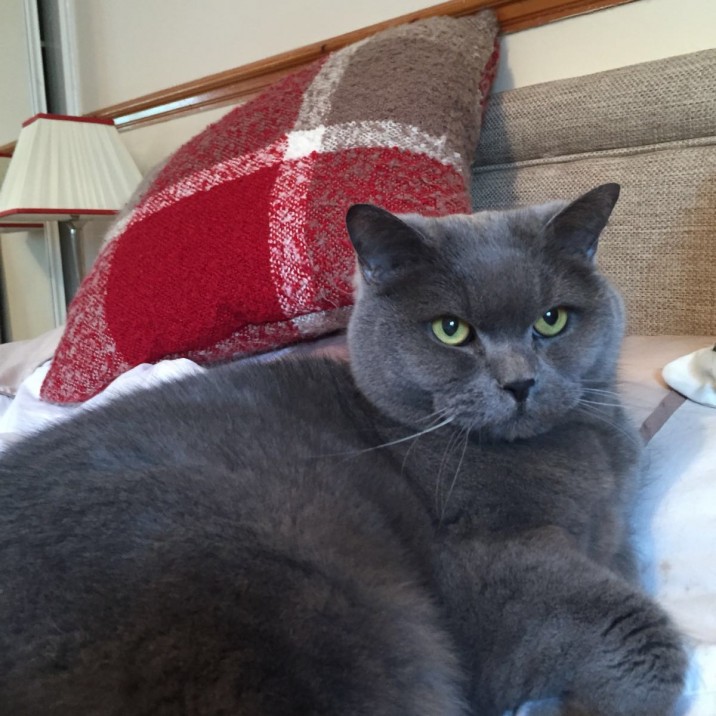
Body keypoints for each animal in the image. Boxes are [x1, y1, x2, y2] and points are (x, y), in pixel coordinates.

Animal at [0, 182, 684, 712]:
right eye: (451, 330)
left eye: (551, 320)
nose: (519, 383)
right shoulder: (487, 571)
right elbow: (639, 629)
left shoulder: (614, 532)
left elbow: (626, 569)